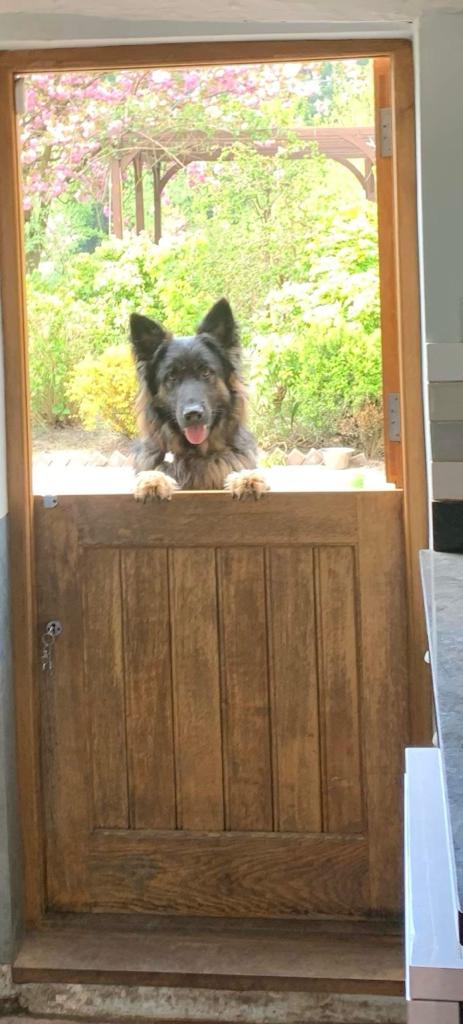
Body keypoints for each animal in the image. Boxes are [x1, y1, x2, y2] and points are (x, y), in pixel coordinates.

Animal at [129, 299, 268, 501]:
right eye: (172, 376)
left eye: (206, 372)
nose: (193, 414)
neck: (196, 453)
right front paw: (154, 480)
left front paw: (245, 478)